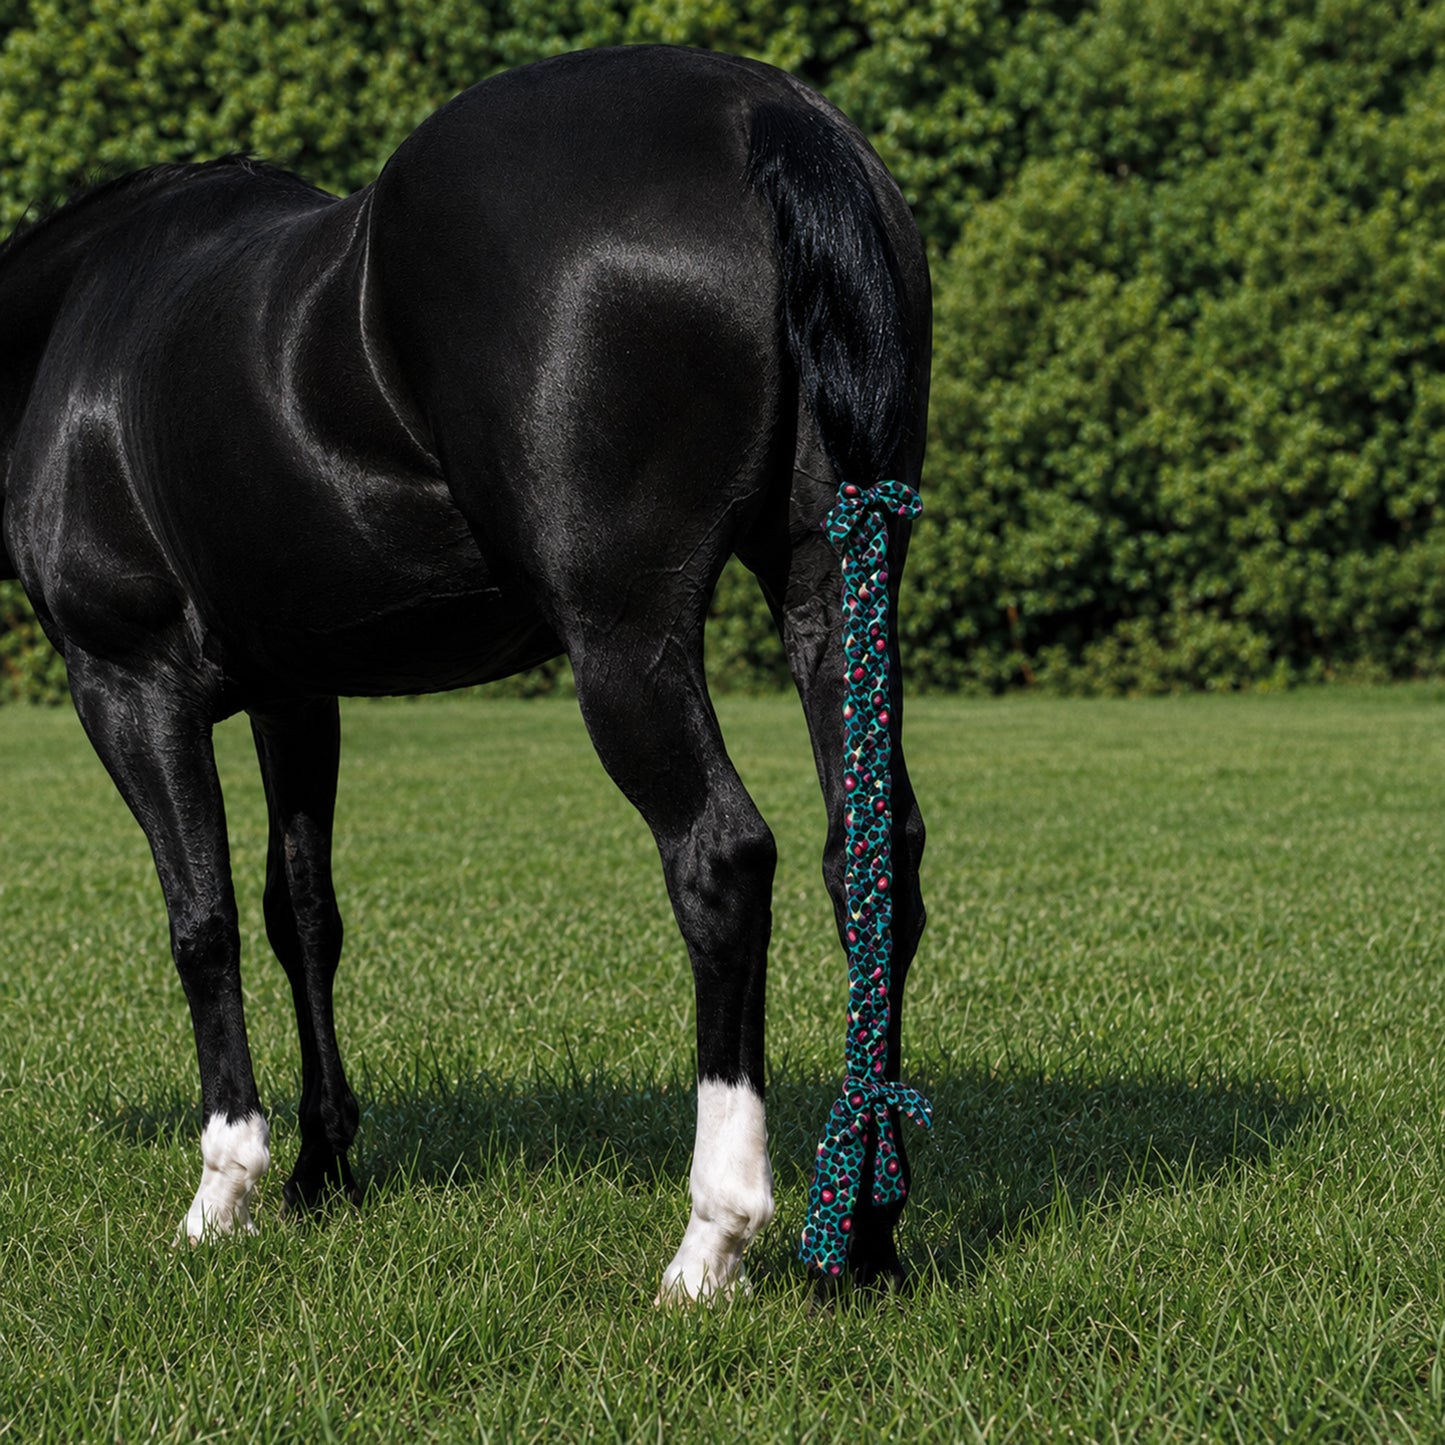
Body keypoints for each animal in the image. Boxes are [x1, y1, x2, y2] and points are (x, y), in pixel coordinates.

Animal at [0, 44, 930, 1300]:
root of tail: (762, 114)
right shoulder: (298, 690)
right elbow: (301, 912)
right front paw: (320, 1170)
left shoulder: (128, 684)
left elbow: (201, 920)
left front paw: (225, 1187)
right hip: (833, 590)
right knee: (870, 861)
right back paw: (866, 1230)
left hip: (623, 637)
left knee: (722, 858)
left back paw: (712, 1238)